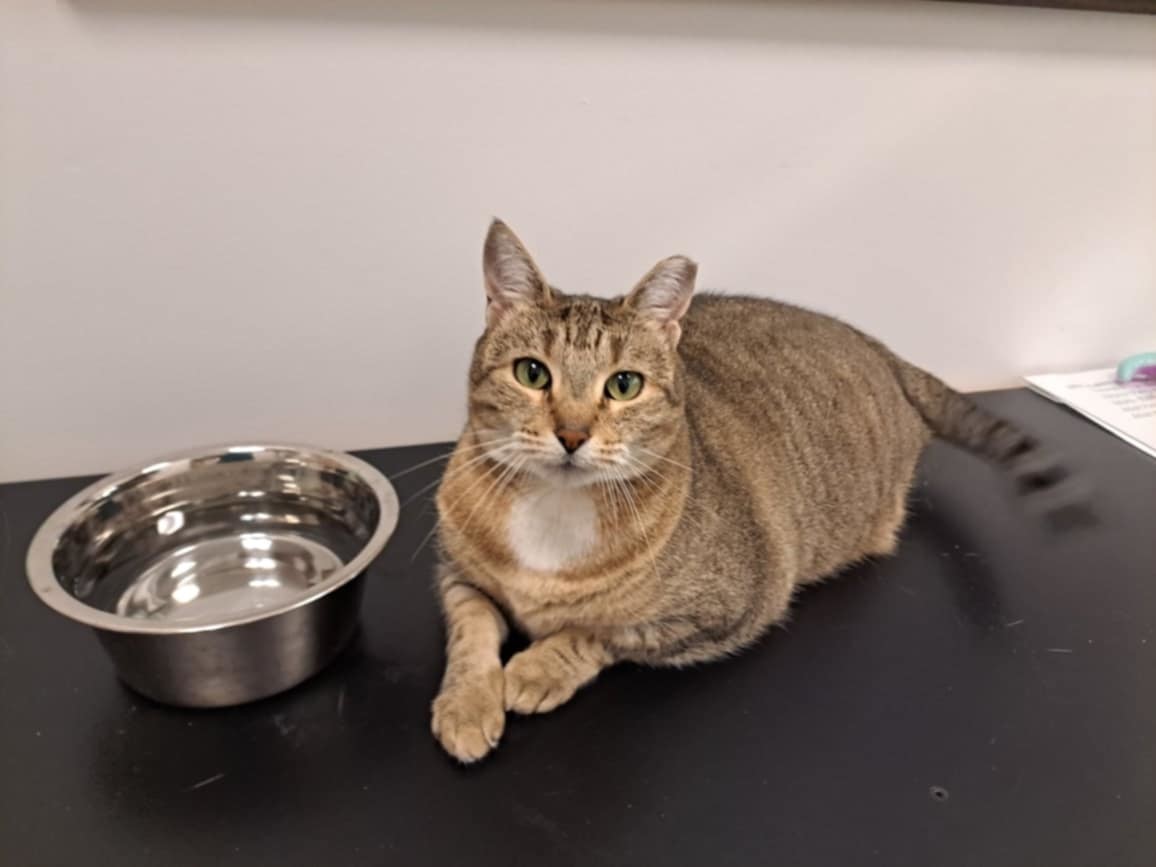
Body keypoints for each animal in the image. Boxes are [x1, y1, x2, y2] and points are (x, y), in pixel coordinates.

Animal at [430, 218, 1068, 767]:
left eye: (624, 385)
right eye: (532, 373)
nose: (571, 434)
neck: (554, 517)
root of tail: (879, 346)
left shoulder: (724, 609)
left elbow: (600, 631)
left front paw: (535, 670)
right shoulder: (457, 574)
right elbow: (471, 632)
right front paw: (467, 705)